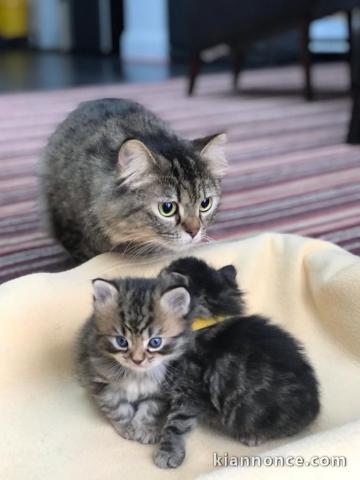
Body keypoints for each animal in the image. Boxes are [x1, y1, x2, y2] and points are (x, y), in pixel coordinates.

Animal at [77, 258, 320, 468]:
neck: (207, 319)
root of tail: (314, 408)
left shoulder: (187, 387)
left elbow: (176, 424)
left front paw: (168, 453)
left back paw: (252, 436)